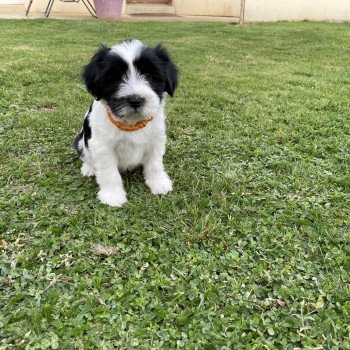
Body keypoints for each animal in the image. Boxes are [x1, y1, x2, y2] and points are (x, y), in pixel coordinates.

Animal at [74, 39, 178, 206]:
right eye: (114, 78)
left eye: (149, 75)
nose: (135, 100)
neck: (131, 123)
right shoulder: (103, 147)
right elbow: (109, 172)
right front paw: (112, 195)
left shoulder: (156, 139)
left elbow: (155, 163)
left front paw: (159, 182)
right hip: (79, 141)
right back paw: (89, 169)